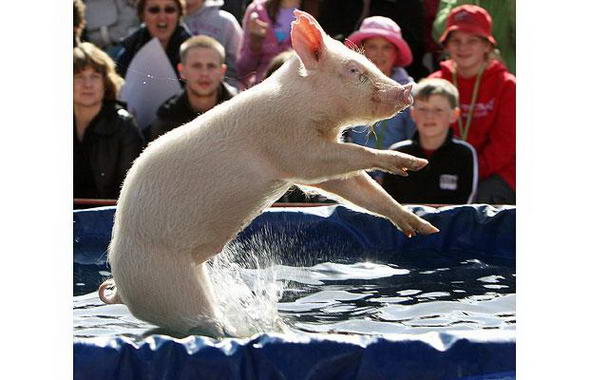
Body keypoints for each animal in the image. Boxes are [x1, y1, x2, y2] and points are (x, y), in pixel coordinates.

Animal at [97, 8, 436, 336]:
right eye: (354, 70)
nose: (408, 90)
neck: (307, 107)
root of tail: (120, 290)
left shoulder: (317, 165)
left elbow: (356, 187)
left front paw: (426, 228)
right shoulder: (293, 147)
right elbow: (350, 157)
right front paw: (412, 164)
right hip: (168, 287)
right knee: (200, 322)